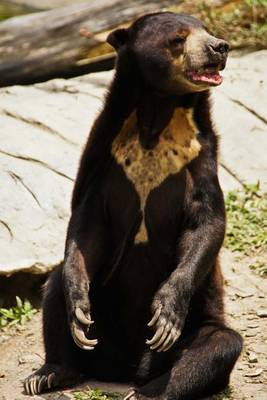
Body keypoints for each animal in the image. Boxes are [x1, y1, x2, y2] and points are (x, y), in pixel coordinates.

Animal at [24, 10, 243, 398]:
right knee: (54, 288)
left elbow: (206, 222)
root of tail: (126, 367)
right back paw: (49, 373)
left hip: (196, 325)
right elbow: (87, 227)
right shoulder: (105, 156)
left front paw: (166, 313)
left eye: (206, 30)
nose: (220, 47)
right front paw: (78, 305)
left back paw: (146, 390)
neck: (158, 112)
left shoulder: (200, 157)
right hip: (102, 323)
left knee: (218, 344)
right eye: (179, 37)